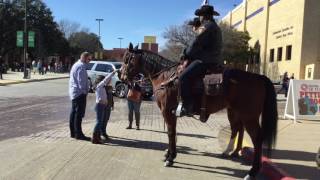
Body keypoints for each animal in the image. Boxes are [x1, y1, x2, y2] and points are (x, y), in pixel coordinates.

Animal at [120, 44, 278, 180]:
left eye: (127, 59)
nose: (122, 77)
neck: (166, 77)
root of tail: (259, 77)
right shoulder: (172, 112)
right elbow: (173, 133)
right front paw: (169, 155)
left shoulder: (167, 111)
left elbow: (171, 133)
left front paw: (170, 158)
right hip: (235, 112)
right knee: (237, 129)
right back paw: (231, 152)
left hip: (249, 116)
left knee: (256, 138)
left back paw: (252, 172)